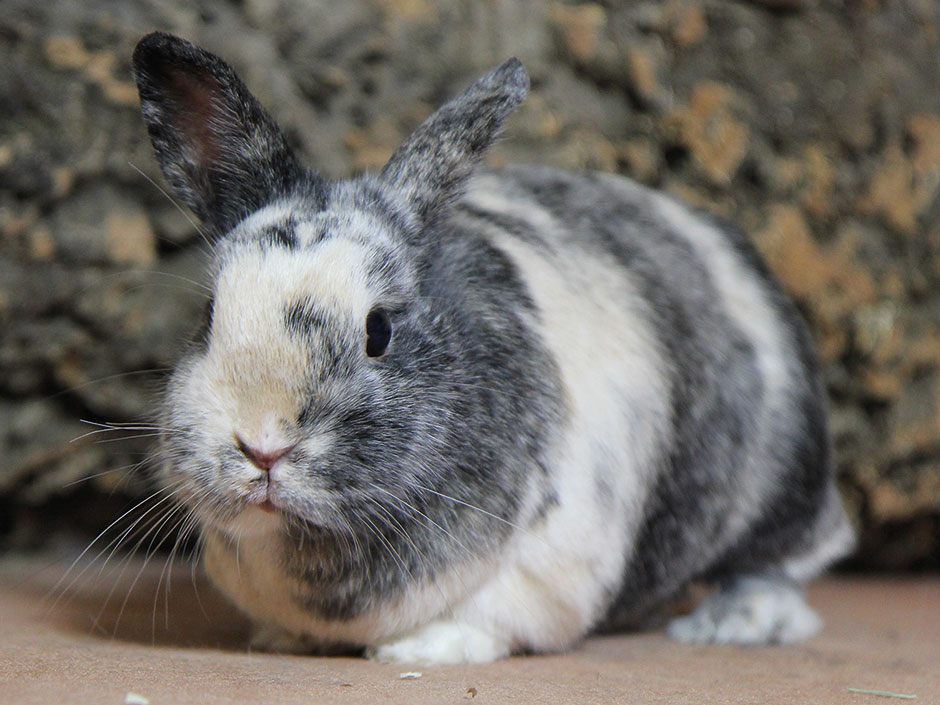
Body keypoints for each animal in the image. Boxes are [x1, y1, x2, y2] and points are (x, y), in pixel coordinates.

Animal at [129, 28, 856, 664]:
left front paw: (418, 651)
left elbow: (485, 620)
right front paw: (284, 639)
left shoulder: (547, 564)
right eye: (209, 315)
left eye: (378, 331)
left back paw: (734, 621)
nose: (263, 446)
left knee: (787, 559)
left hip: (780, 486)